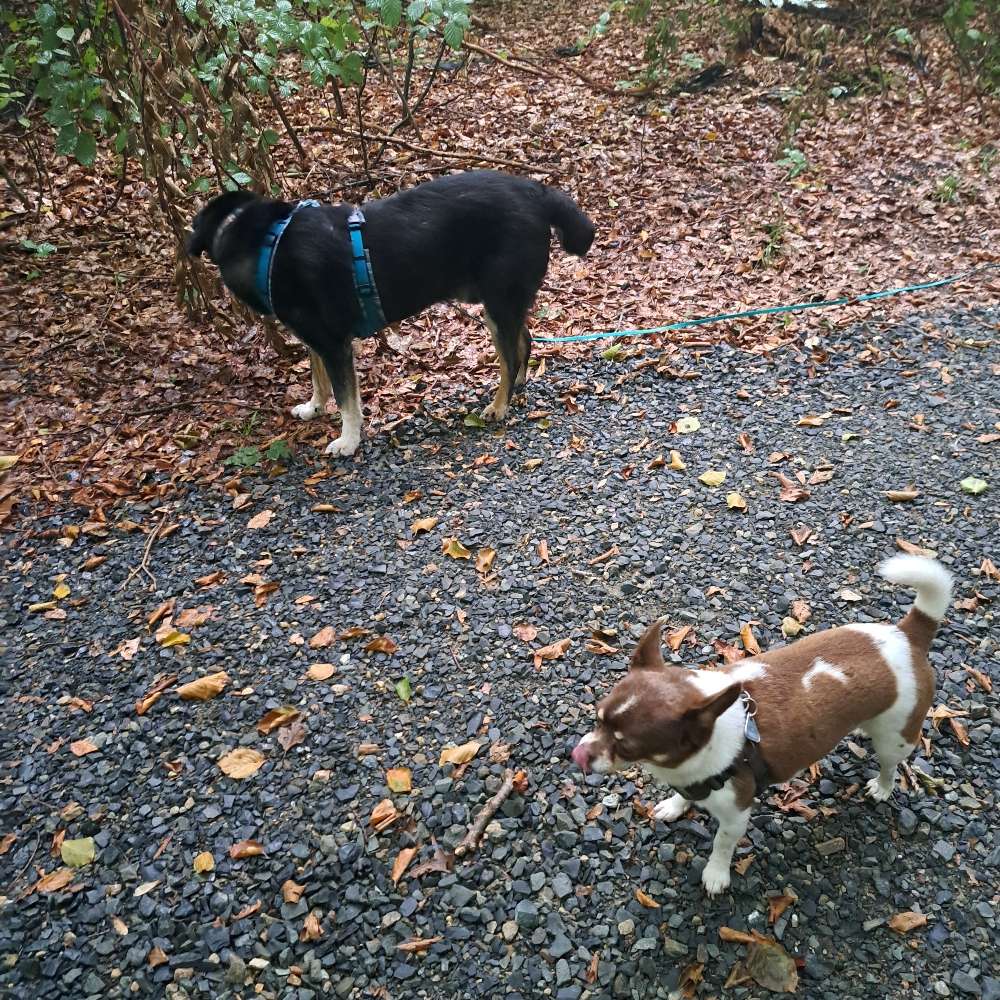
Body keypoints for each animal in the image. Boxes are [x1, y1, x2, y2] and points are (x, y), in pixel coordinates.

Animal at [188, 172, 592, 458]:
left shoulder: (334, 344)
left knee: (509, 356)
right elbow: (318, 379)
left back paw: (499, 406)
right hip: (502, 304)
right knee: (524, 341)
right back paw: (518, 386)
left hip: (499, 301)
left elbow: (347, 399)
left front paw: (348, 440)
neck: (268, 246)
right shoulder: (315, 339)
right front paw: (314, 408)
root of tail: (536, 191)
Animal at [572, 560, 952, 896]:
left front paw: (715, 874)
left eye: (626, 745)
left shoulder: (736, 814)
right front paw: (676, 806)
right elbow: (685, 796)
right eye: (597, 718)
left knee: (890, 763)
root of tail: (907, 634)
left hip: (897, 736)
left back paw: (883, 787)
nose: (577, 754)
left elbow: (722, 845)